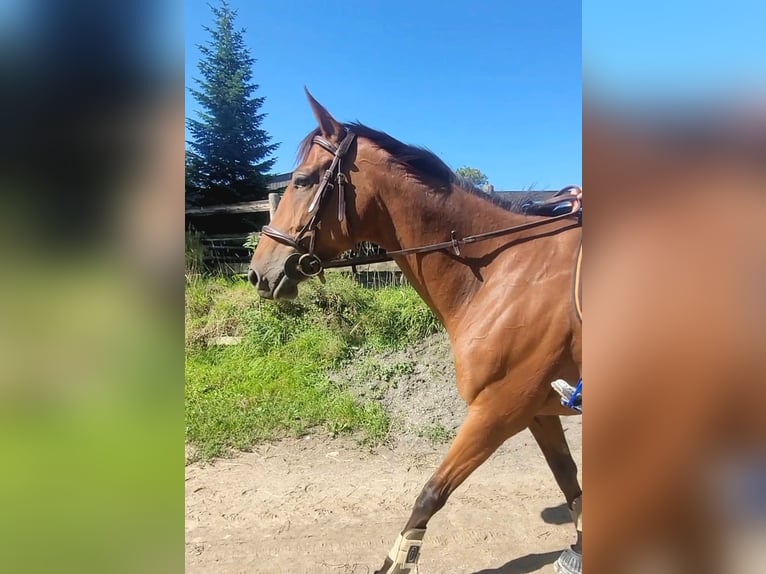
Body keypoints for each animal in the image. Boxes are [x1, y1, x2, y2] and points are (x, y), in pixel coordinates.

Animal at [250, 91, 584, 574]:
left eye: (303, 180)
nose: (258, 273)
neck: (503, 273)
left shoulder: (498, 410)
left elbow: (430, 494)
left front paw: (395, 561)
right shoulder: (536, 411)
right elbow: (569, 481)